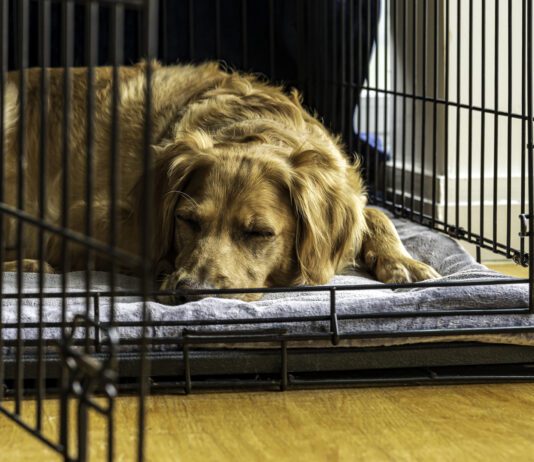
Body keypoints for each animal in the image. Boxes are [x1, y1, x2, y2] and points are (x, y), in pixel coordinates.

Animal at [1, 61, 440, 304]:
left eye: (259, 233)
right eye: (187, 220)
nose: (190, 291)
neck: (251, 127)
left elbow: (376, 213)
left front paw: (403, 260)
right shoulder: (86, 217)